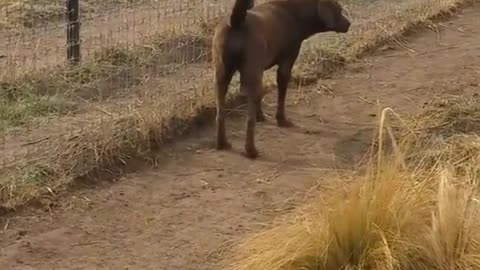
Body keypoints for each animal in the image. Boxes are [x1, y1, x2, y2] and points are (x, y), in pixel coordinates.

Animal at [212, 0, 350, 158]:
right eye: (338, 9)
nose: (349, 23)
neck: (295, 13)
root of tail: (236, 21)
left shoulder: (261, 71)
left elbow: (261, 97)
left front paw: (260, 115)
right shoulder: (285, 65)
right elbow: (281, 97)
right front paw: (281, 120)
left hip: (222, 76)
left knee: (220, 114)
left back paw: (222, 143)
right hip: (250, 75)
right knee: (249, 120)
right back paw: (251, 150)